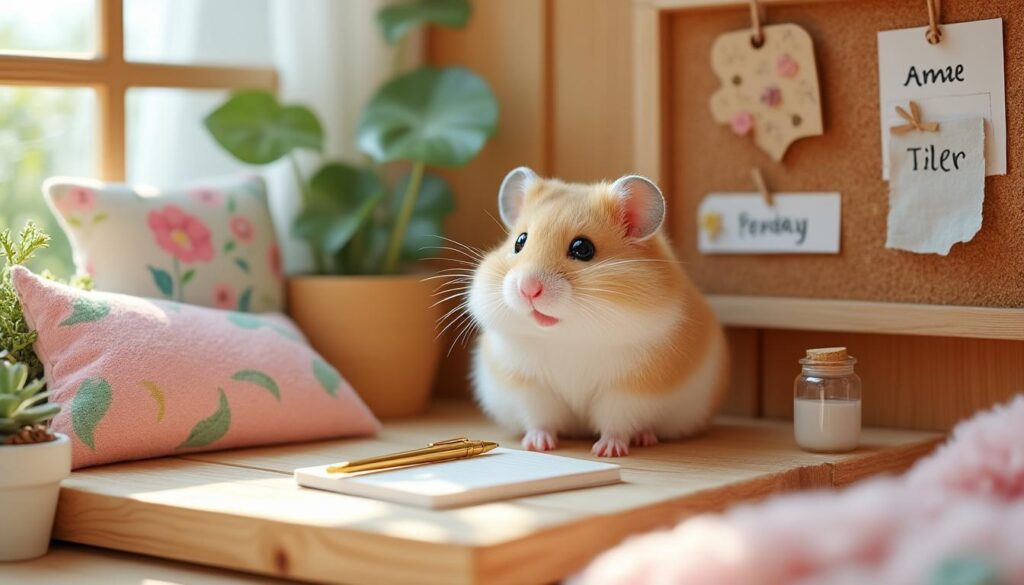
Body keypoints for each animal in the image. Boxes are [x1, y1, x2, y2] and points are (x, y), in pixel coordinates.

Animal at [467, 167, 729, 457]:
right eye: (519, 242)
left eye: (583, 248)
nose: (528, 288)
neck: (569, 336)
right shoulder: (531, 387)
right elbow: (540, 419)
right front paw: (538, 446)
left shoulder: (629, 391)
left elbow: (616, 423)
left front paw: (607, 451)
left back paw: (644, 438)